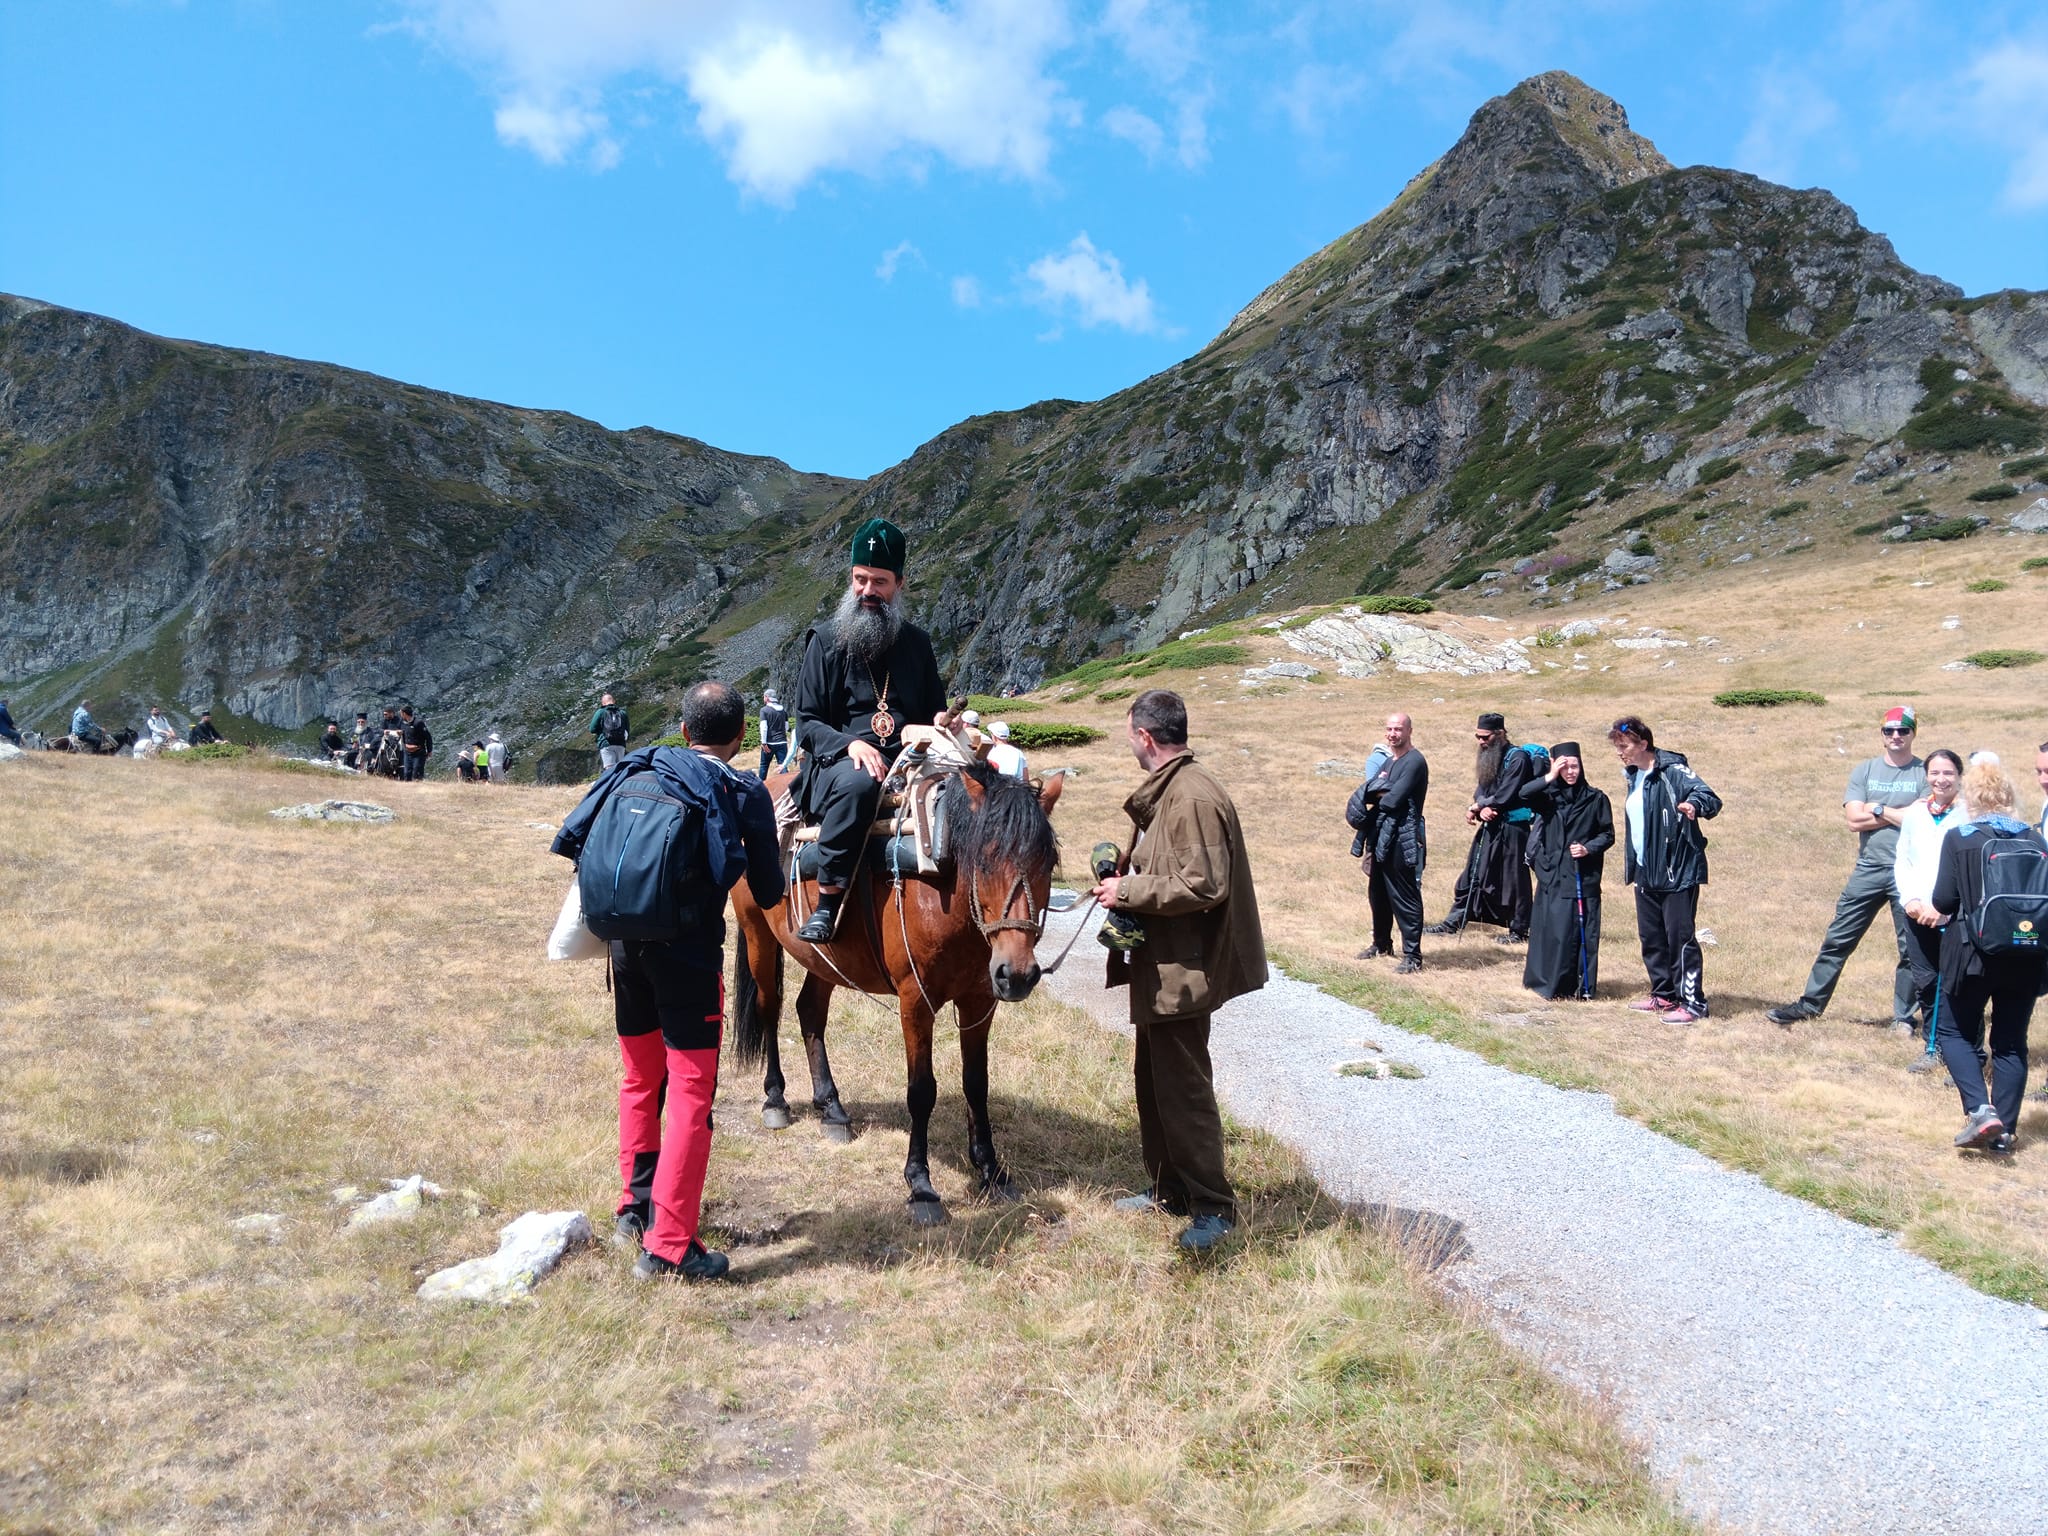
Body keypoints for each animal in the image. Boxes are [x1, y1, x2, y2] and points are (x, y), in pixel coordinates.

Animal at [729, 761, 1064, 1228]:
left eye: (1047, 862)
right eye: (985, 860)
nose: (1017, 974)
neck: (941, 883)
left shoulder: (980, 1002)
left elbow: (976, 1084)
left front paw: (991, 1171)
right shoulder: (916, 1002)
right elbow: (921, 1091)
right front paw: (921, 1185)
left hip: (825, 956)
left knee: (809, 1010)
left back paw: (831, 1108)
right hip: (757, 932)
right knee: (769, 1009)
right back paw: (776, 1099)